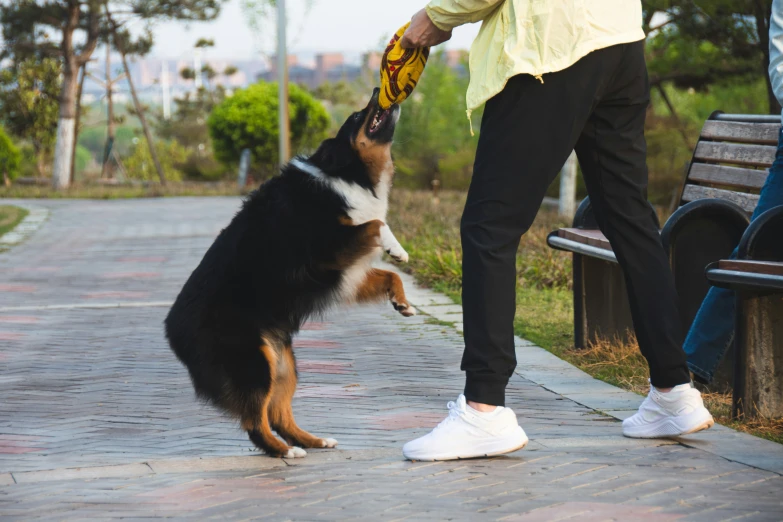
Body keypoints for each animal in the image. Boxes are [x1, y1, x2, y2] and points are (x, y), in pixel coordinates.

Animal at [165, 88, 416, 456]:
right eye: (357, 117)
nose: (375, 91)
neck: (347, 173)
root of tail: (171, 331)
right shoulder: (327, 251)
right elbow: (376, 223)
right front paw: (397, 248)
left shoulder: (346, 273)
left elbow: (388, 274)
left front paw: (402, 302)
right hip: (254, 364)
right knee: (255, 422)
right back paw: (284, 451)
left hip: (283, 363)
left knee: (279, 415)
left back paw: (314, 441)